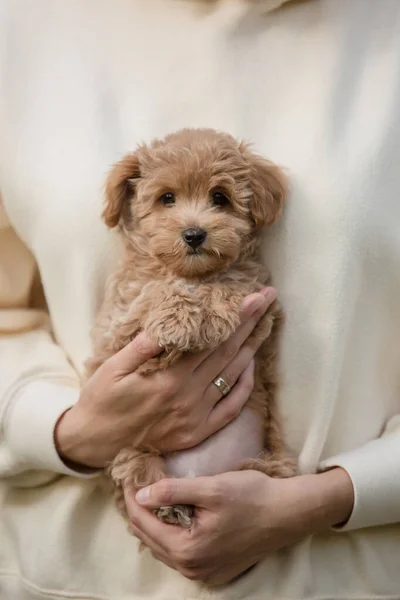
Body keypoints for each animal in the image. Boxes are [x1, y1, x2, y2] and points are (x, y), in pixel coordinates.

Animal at [86, 129, 296, 532]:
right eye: (167, 198)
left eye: (220, 197)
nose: (195, 234)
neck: (189, 273)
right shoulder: (116, 330)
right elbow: (154, 295)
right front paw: (177, 320)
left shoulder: (262, 304)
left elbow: (230, 285)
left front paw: (208, 312)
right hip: (129, 444)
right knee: (138, 470)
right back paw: (170, 506)